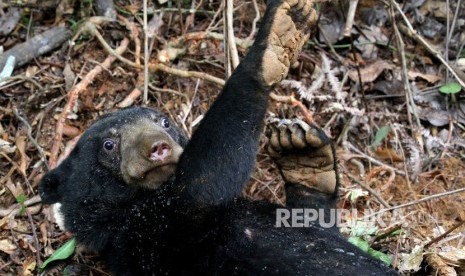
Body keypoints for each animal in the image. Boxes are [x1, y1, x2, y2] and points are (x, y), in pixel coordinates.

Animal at [39, 1, 396, 274]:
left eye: (163, 121)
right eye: (109, 145)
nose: (159, 148)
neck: (137, 204)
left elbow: (312, 222)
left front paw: (304, 156)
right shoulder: (157, 230)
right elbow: (209, 177)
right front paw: (274, 37)